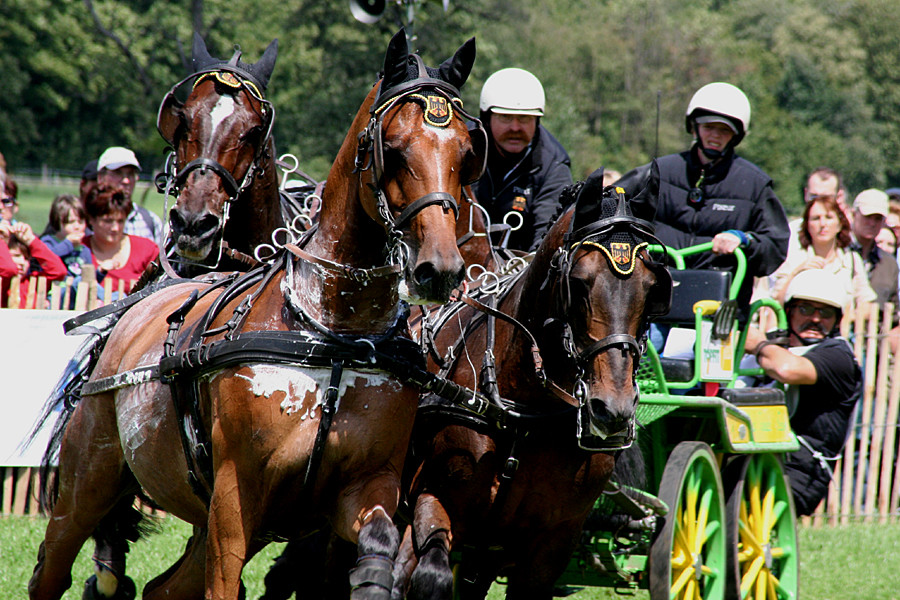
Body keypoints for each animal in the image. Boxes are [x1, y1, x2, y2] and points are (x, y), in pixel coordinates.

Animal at [26, 30, 486, 600]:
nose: (439, 269)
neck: (330, 332)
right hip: (88, 481)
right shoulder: (235, 496)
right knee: (54, 568)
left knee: (162, 589)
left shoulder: (365, 485)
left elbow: (378, 544)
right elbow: (226, 581)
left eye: (466, 153)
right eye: (394, 149)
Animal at [390, 165, 672, 600]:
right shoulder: (433, 498)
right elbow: (426, 576)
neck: (525, 413)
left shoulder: (550, 546)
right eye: (580, 281)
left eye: (653, 287)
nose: (612, 410)